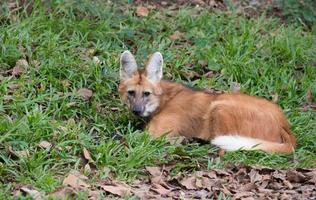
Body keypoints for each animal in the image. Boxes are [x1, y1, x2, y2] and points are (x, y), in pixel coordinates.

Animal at [118, 50, 296, 153]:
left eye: (146, 94)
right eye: (131, 93)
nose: (136, 110)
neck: (165, 100)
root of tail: (285, 126)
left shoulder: (155, 132)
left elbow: (130, 136)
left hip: (219, 106)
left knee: (221, 146)